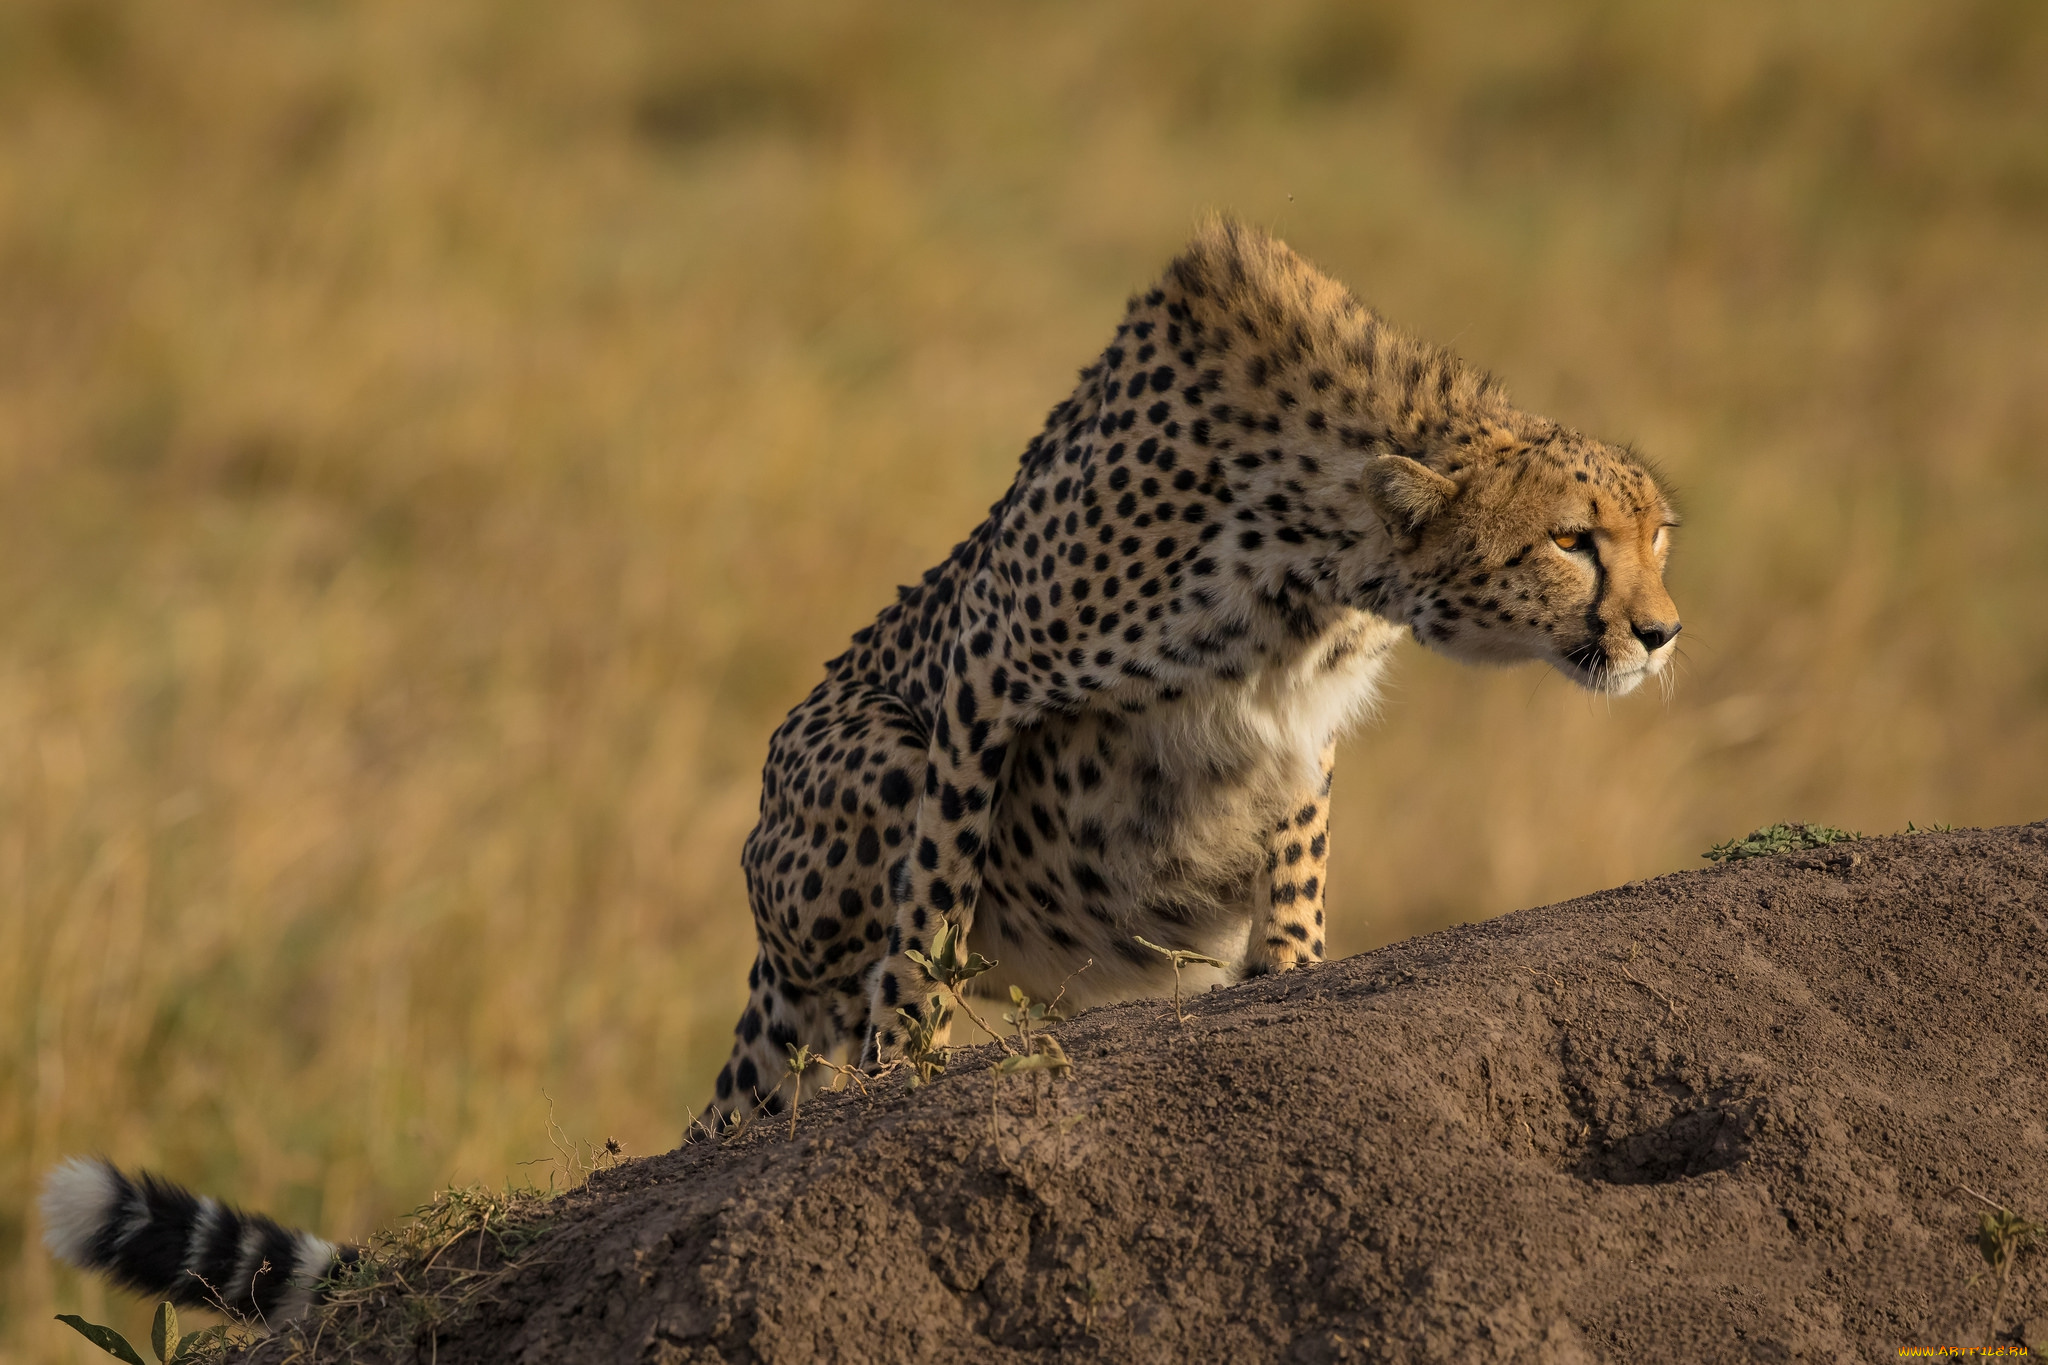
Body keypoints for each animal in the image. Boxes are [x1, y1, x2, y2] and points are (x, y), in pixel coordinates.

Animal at [704, 215, 1679, 1129]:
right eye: (1570, 540)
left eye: (1658, 533)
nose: (1662, 632)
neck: (1316, 556)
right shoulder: (982, 667)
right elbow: (938, 888)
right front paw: (907, 1052)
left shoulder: (1306, 711)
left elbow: (1297, 842)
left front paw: (1288, 962)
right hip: (868, 753)